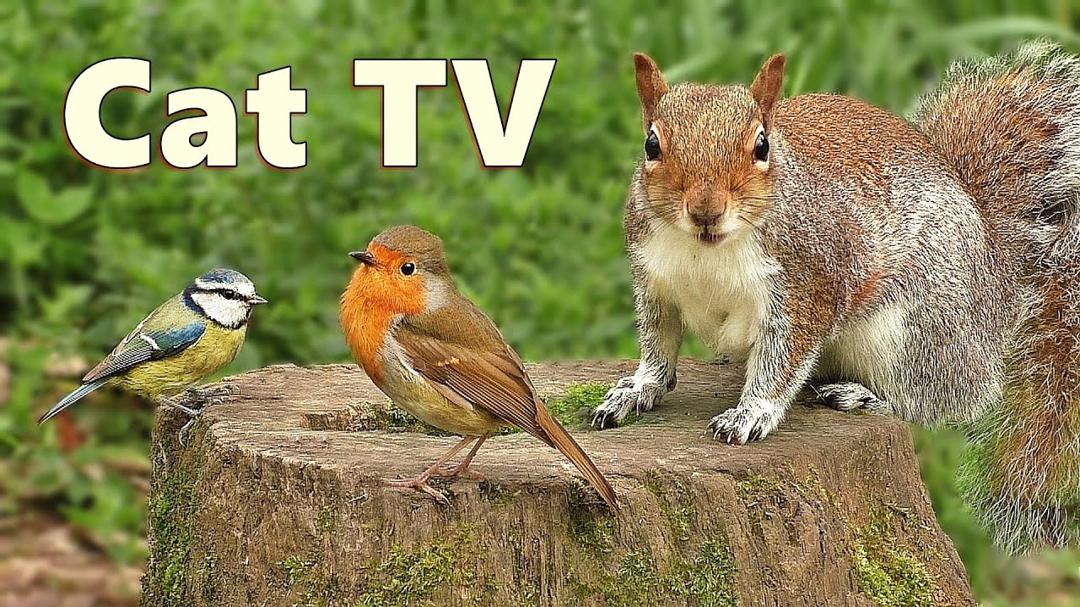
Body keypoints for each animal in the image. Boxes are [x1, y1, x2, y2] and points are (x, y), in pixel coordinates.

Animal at [590, 41, 1080, 554]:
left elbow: (782, 360)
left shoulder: (808, 287)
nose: (706, 211)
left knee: (946, 401)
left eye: (761, 146)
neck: (706, 249)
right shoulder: (655, 285)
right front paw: (636, 391)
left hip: (918, 332)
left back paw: (865, 396)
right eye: (651, 145)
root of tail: (998, 281)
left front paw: (751, 413)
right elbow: (658, 348)